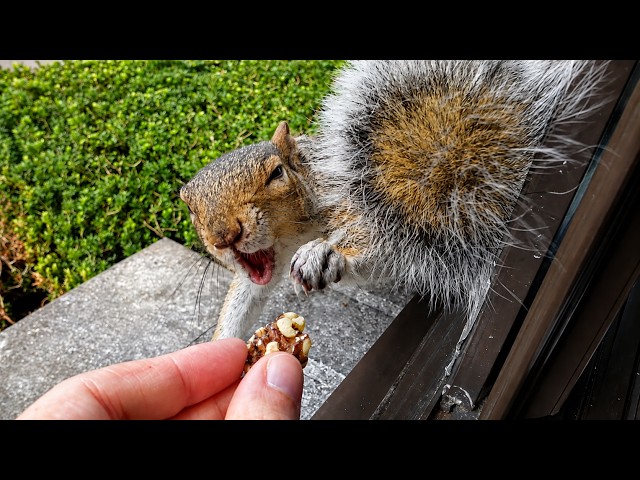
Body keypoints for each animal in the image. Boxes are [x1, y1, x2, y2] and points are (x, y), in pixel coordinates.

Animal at [179, 60, 608, 341]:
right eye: (191, 209)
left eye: (276, 174)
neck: (293, 233)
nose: (224, 236)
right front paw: (222, 345)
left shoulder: (365, 204)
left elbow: (386, 251)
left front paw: (329, 254)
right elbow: (243, 297)